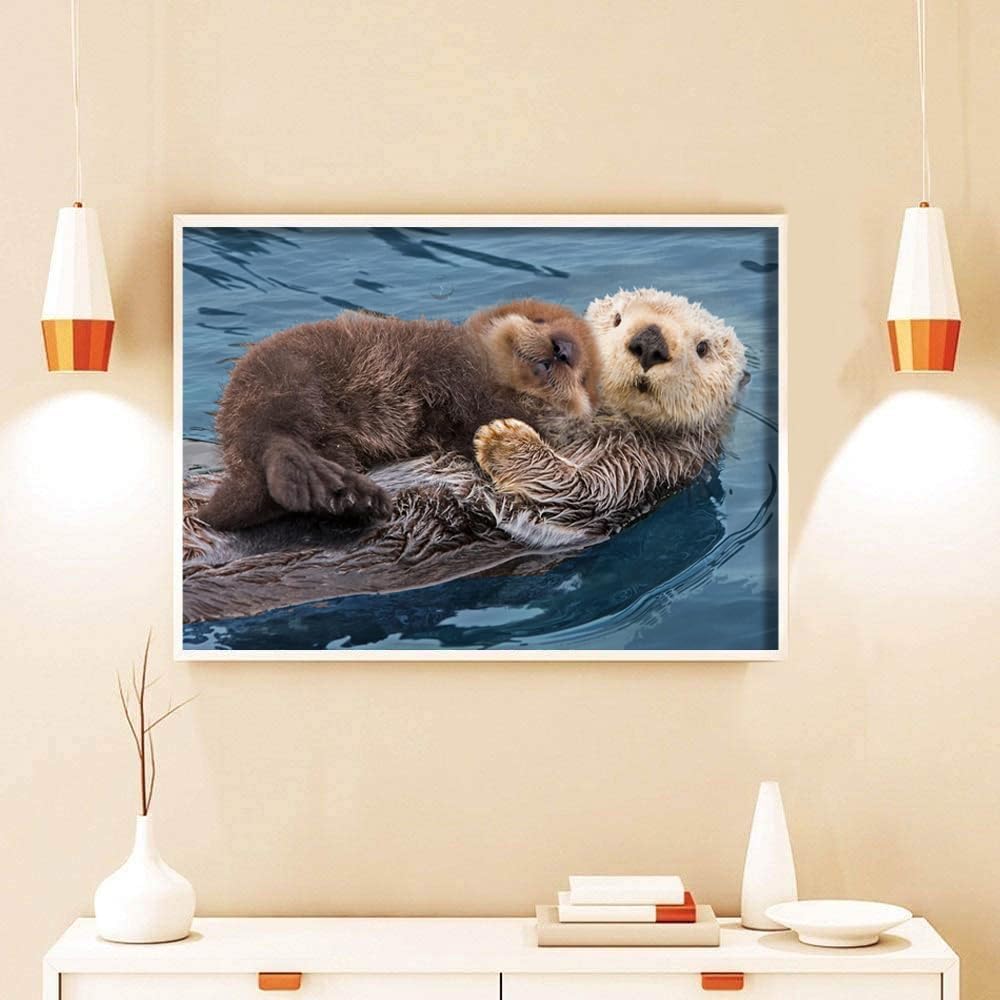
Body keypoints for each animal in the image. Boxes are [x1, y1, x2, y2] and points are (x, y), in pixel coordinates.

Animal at [195, 299, 600, 530]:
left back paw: (345, 496)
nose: (562, 349)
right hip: (286, 376)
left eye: (583, 376)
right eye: (540, 319)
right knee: (276, 438)